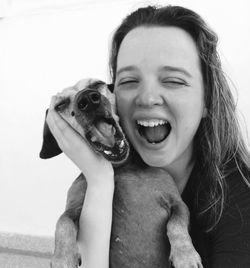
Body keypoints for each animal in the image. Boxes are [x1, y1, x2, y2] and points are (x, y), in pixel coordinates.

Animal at [39, 78, 203, 266]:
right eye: (60, 105)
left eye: (97, 84)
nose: (88, 99)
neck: (120, 169)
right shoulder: (73, 210)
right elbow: (62, 222)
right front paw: (62, 258)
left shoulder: (178, 203)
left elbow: (176, 223)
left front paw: (185, 255)